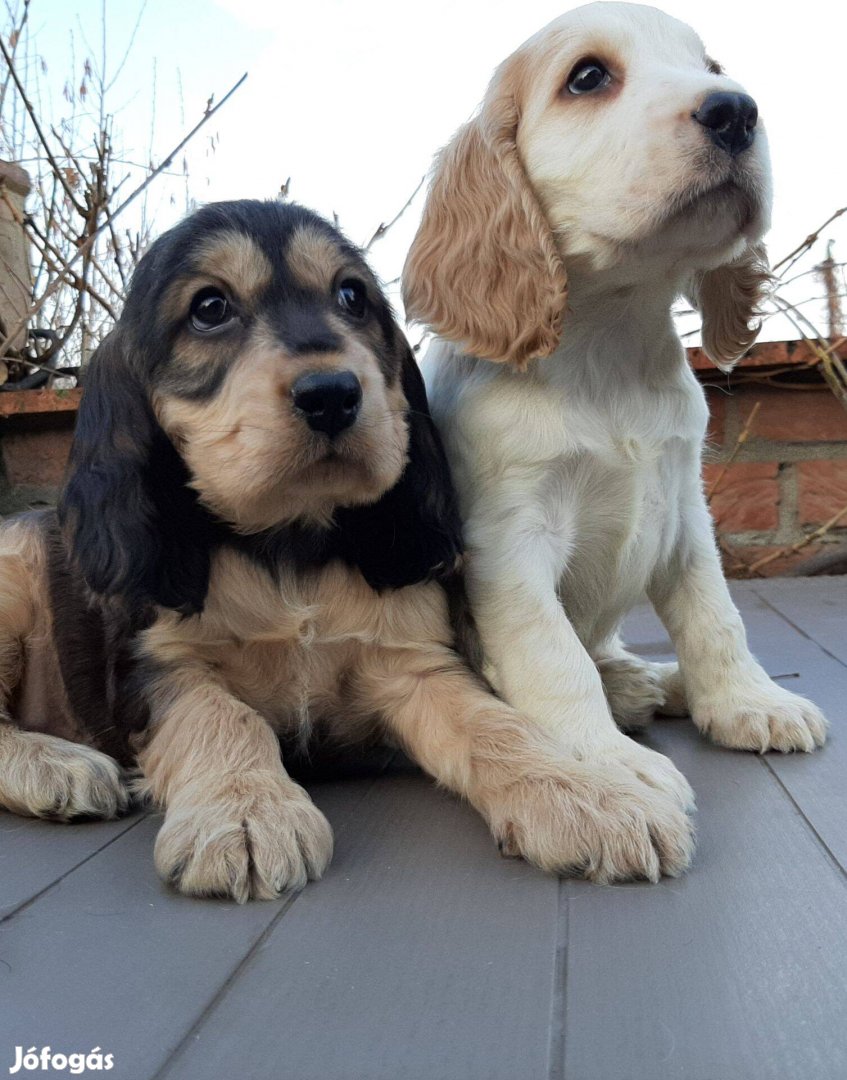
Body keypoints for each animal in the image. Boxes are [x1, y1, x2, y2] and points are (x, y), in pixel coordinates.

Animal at [0, 200, 691, 894]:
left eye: (352, 296)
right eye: (209, 307)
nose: (332, 393)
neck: (289, 541)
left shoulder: (413, 662)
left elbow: (497, 724)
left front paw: (589, 797)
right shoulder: (160, 662)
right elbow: (223, 717)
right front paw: (248, 812)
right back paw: (58, 766)